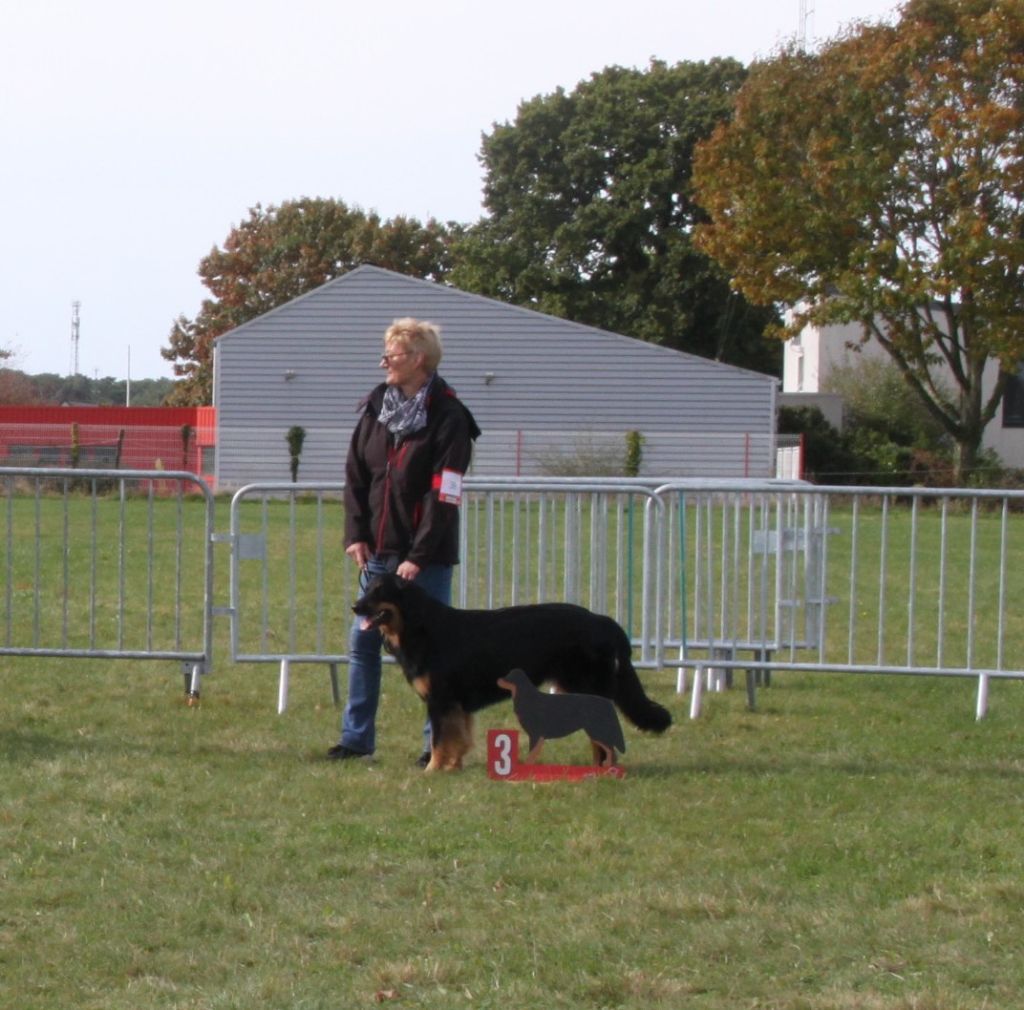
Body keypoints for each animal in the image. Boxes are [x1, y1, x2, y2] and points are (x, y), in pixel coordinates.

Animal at [352, 569, 671, 766]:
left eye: (379, 591)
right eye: (366, 589)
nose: (355, 607)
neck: (419, 627)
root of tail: (602, 621)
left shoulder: (441, 700)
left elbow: (440, 740)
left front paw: (433, 770)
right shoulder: (457, 704)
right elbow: (459, 739)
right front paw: (452, 768)